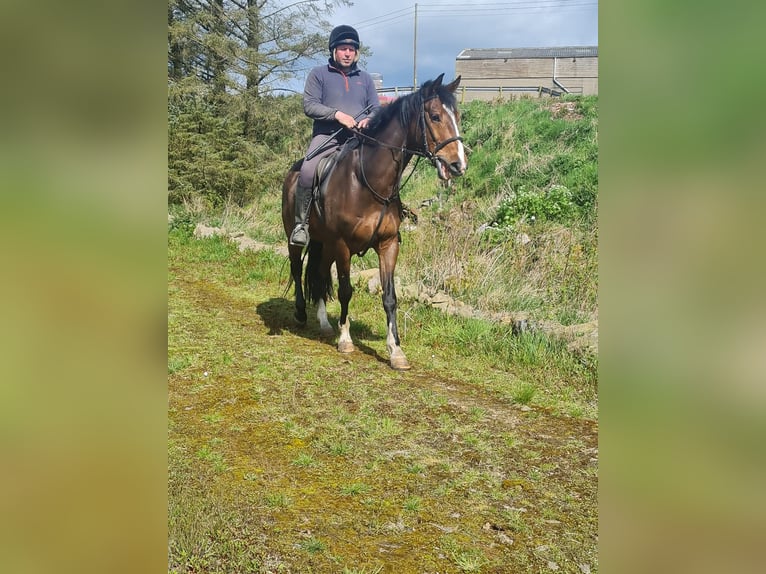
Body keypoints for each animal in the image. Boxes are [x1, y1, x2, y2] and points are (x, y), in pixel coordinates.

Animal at [281, 73, 467, 370]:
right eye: (435, 116)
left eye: (458, 116)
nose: (458, 165)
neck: (367, 180)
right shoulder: (343, 245)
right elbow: (346, 290)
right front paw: (346, 340)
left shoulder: (388, 244)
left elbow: (390, 298)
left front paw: (396, 351)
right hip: (298, 236)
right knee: (298, 268)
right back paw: (300, 313)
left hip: (325, 244)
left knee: (319, 274)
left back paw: (323, 322)